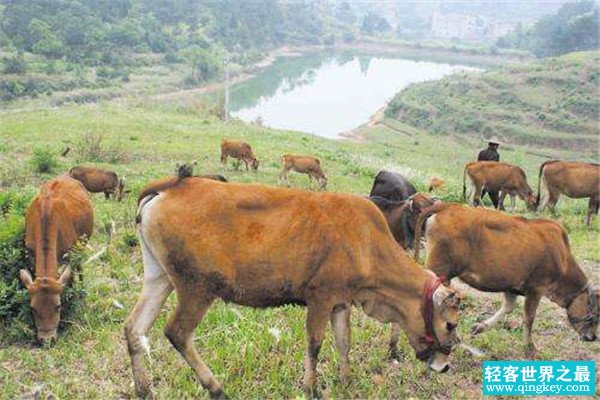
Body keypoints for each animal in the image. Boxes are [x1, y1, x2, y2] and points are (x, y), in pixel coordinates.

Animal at [19, 175, 94, 344]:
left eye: (58, 306)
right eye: (33, 308)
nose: (47, 340)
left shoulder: (70, 254)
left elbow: (70, 278)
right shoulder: (30, 253)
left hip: (81, 244)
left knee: (80, 268)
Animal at [123, 177, 460, 396]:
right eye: (451, 324)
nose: (445, 366)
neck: (366, 242)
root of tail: (169, 187)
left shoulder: (340, 301)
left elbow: (343, 343)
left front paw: (346, 381)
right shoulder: (320, 298)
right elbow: (315, 344)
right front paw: (311, 387)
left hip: (159, 278)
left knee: (133, 328)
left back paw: (144, 389)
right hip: (198, 287)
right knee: (177, 333)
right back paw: (216, 387)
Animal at [414, 203, 596, 354]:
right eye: (593, 313)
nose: (593, 337)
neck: (562, 259)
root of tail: (447, 205)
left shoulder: (511, 287)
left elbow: (508, 307)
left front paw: (479, 327)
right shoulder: (536, 289)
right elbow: (529, 318)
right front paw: (530, 348)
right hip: (440, 271)